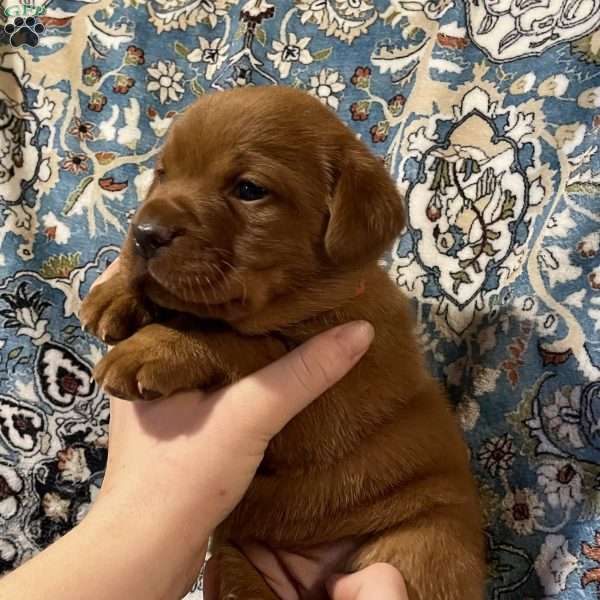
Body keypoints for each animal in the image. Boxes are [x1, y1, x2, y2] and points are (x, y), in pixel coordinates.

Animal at [79, 85, 486, 600]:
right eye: (163, 173)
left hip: (421, 546)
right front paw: (115, 293)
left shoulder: (327, 408)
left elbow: (241, 342)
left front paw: (154, 347)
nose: (145, 234)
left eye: (249, 190)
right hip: (232, 562)